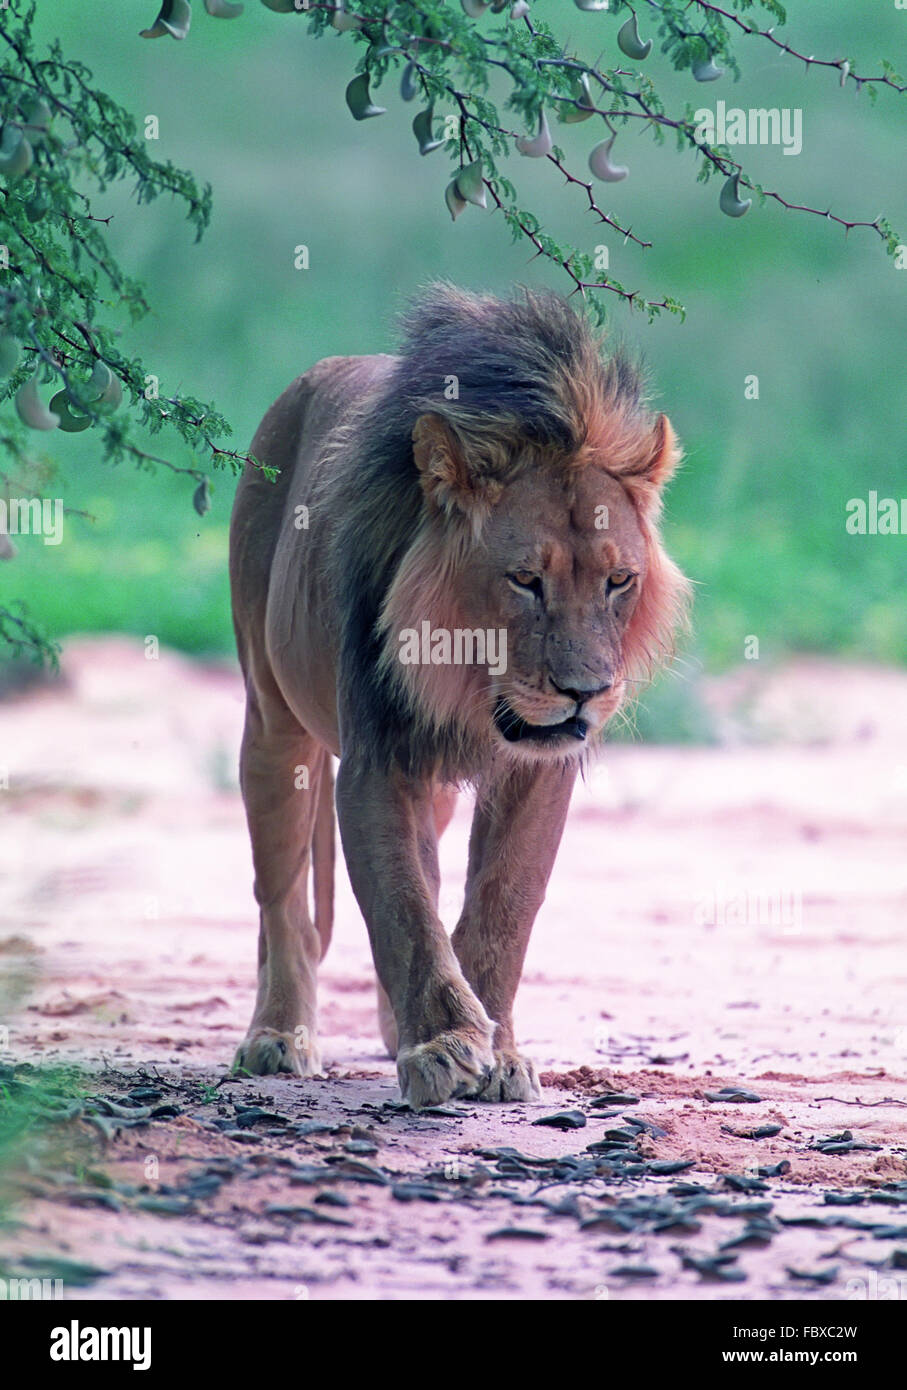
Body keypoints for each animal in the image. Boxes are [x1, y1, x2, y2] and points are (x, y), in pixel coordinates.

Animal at [229, 284, 690, 1108]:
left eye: (618, 580)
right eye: (525, 579)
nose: (584, 693)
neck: (470, 688)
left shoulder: (536, 770)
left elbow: (501, 907)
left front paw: (495, 1053)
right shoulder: (378, 761)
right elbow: (403, 907)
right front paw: (443, 1047)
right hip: (273, 725)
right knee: (281, 900)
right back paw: (279, 1034)